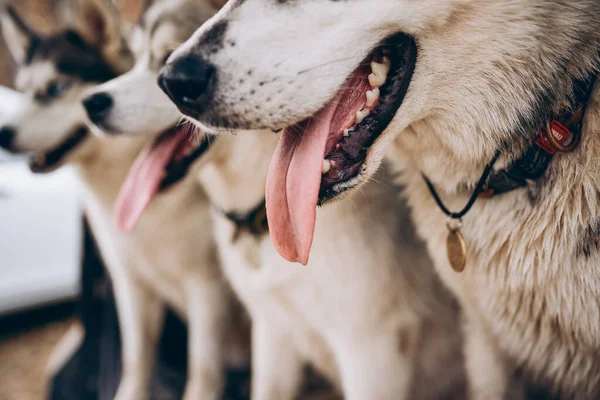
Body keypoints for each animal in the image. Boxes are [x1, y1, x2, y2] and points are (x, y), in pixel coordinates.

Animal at [0, 0, 245, 400]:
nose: (2, 134)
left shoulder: (206, 290)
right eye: (25, 91)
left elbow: (203, 371)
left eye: (56, 88)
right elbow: (135, 362)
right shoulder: (129, 283)